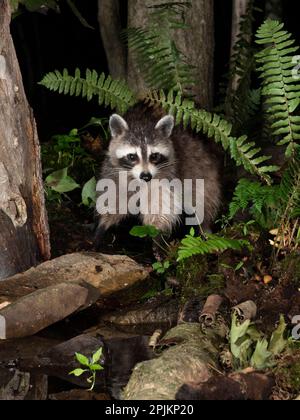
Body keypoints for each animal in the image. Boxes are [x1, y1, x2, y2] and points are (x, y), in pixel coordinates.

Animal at [95, 105, 221, 248]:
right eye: (132, 156)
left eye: (154, 156)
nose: (146, 176)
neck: (141, 123)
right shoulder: (114, 170)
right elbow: (113, 195)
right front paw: (105, 223)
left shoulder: (168, 172)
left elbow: (162, 204)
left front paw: (157, 233)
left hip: (201, 166)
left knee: (203, 198)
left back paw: (204, 227)